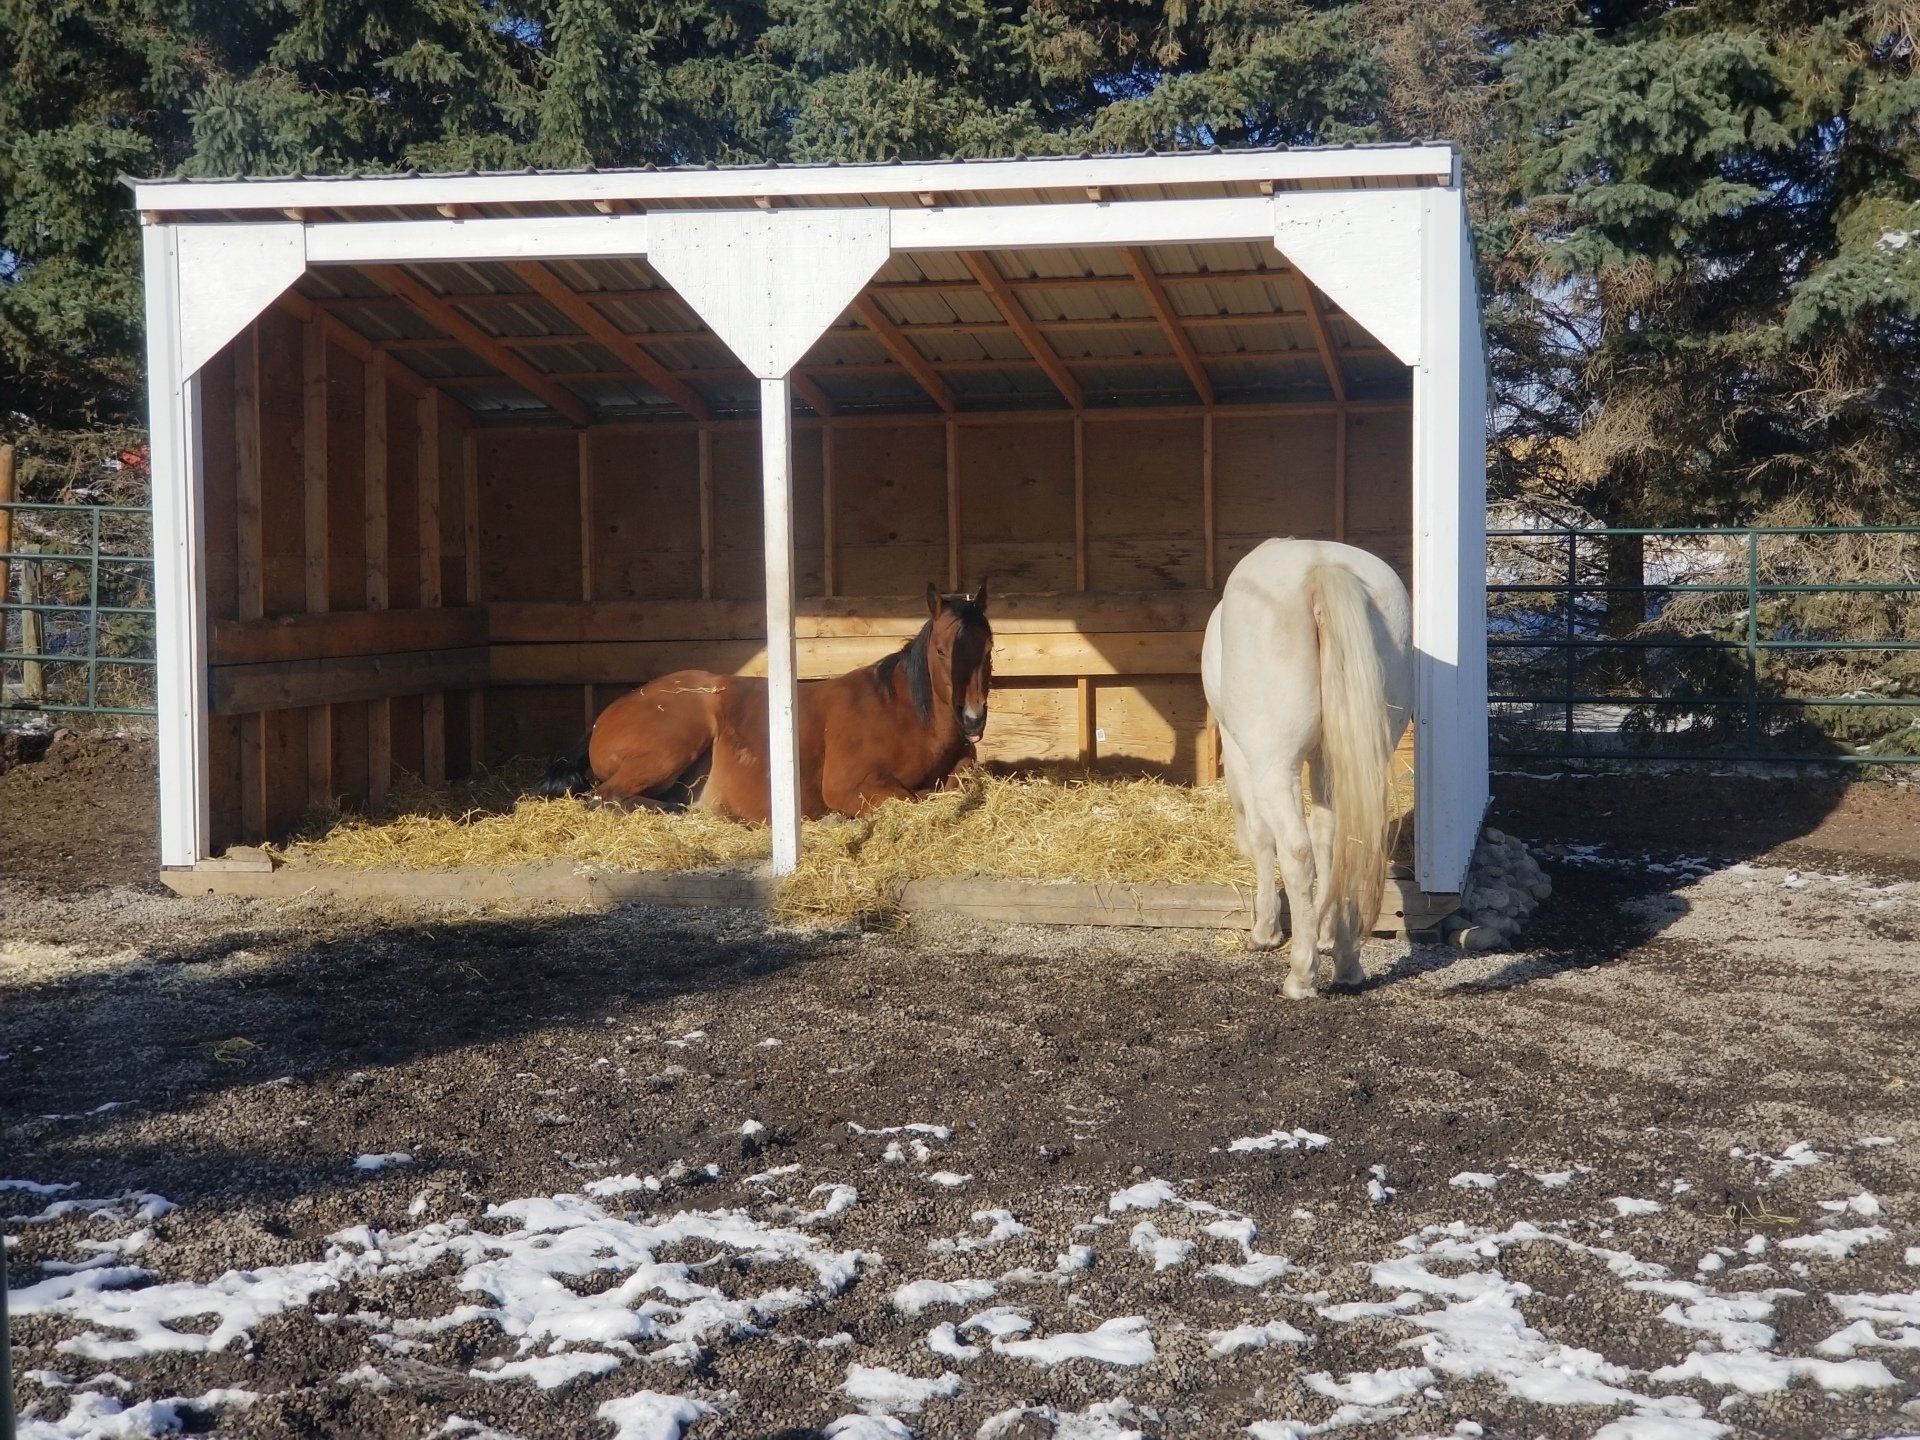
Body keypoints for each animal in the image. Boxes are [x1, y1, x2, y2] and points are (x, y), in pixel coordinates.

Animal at [534, 583, 992, 822]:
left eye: (989, 649)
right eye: (941, 651)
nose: (972, 720)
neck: (902, 714)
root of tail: (605, 716)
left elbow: (962, 781)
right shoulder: (851, 785)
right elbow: (913, 798)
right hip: (672, 744)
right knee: (604, 797)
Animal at [1201, 539, 1413, 999]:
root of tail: (1321, 567)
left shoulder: (1243, 751)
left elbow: (1264, 836)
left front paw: (1265, 930)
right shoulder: (1322, 764)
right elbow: (1327, 839)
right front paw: (1325, 933)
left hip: (1274, 763)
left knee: (1296, 851)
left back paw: (1301, 975)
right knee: (1351, 843)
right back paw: (1347, 964)